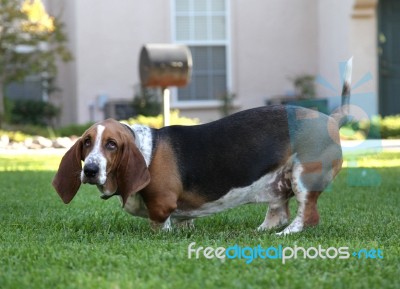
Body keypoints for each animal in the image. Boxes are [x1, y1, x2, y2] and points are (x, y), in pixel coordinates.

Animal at [52, 57, 354, 233]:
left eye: (112, 144)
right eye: (86, 143)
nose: (90, 170)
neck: (147, 151)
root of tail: (331, 119)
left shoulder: (161, 207)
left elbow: (161, 225)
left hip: (304, 179)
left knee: (307, 216)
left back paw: (285, 234)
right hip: (281, 184)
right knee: (279, 212)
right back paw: (260, 231)